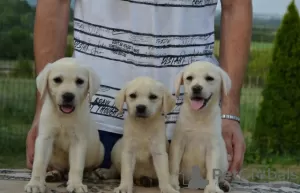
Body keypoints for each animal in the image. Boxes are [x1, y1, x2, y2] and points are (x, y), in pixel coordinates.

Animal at [24, 57, 105, 193]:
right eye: (57, 80)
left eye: (79, 81)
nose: (68, 96)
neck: (64, 116)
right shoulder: (45, 138)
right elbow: (39, 163)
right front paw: (35, 183)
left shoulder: (78, 140)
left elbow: (77, 166)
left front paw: (76, 185)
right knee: (57, 169)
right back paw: (53, 174)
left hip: (100, 151)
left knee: (88, 167)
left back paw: (92, 174)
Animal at [169, 61, 232, 193]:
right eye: (189, 78)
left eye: (209, 78)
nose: (196, 88)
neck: (199, 116)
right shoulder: (178, 143)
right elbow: (174, 165)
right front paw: (172, 184)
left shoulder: (213, 147)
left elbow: (213, 170)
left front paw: (212, 188)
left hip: (225, 161)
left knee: (221, 175)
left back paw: (223, 184)